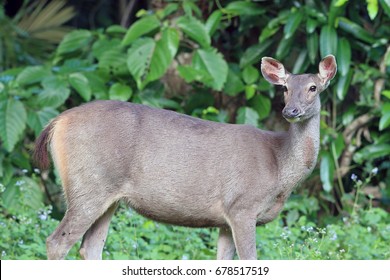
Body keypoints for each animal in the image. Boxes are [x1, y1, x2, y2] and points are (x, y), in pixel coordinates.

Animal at [35, 55, 336, 260]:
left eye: (313, 87)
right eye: (285, 88)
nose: (290, 111)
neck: (279, 168)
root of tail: (57, 122)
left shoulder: (225, 218)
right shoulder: (242, 206)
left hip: (107, 196)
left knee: (90, 248)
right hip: (88, 184)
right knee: (57, 242)